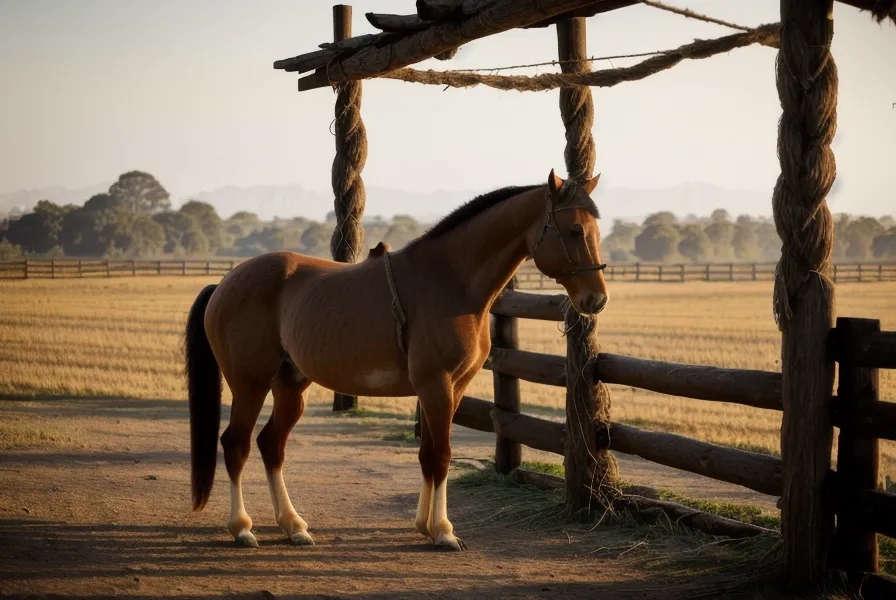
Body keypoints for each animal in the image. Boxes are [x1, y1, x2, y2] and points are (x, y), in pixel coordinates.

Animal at [183, 169, 609, 551]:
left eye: (596, 230)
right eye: (575, 230)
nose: (596, 299)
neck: (451, 281)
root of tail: (225, 283)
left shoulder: (451, 388)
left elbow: (427, 455)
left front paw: (425, 525)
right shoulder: (436, 386)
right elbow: (441, 456)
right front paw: (443, 532)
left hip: (290, 387)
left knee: (271, 445)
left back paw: (294, 526)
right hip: (250, 385)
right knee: (236, 444)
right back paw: (242, 529)